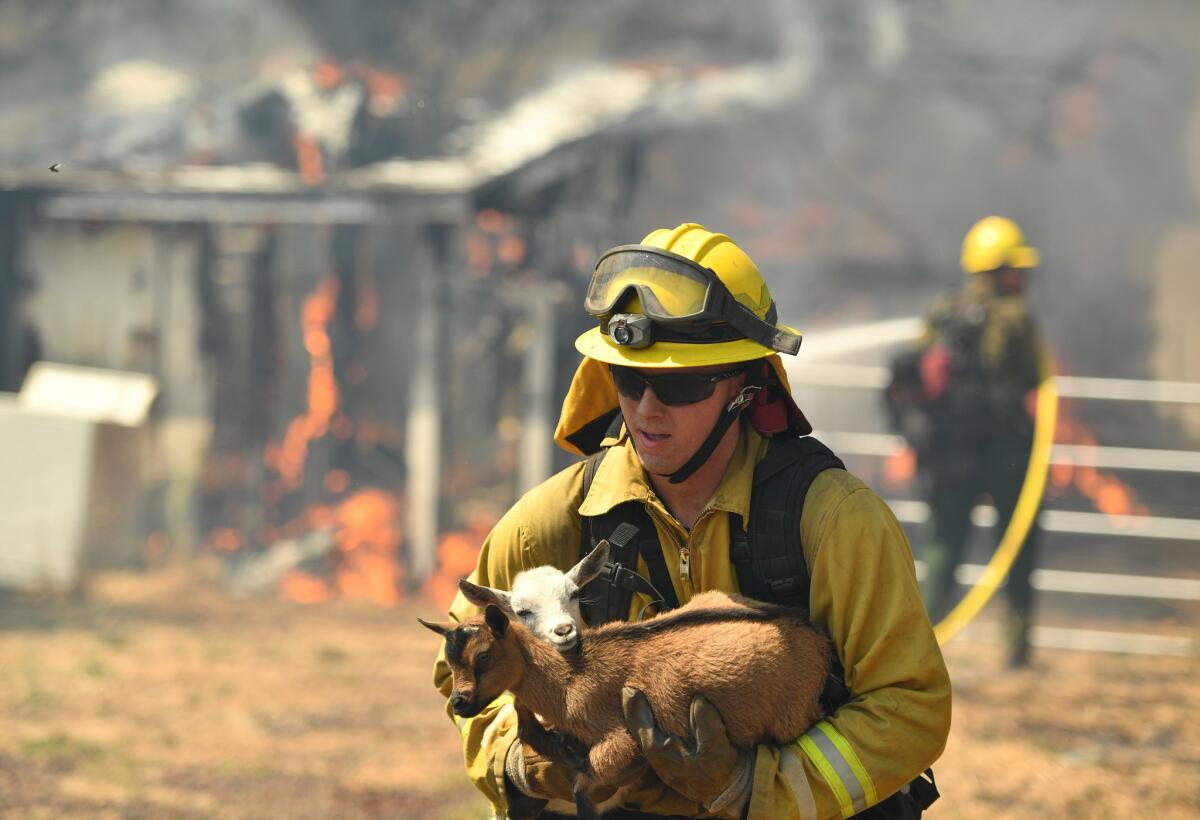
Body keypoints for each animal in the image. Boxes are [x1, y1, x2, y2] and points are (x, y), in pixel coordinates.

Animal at [424, 590, 835, 816]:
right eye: (450, 662)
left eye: (484, 656)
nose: (460, 703)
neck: (570, 679)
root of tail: (815, 637)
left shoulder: (620, 739)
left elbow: (583, 787)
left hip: (793, 715)